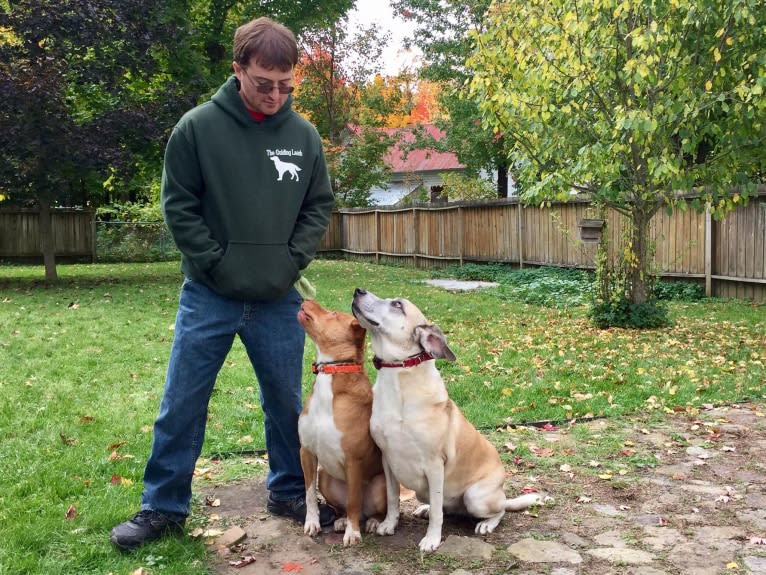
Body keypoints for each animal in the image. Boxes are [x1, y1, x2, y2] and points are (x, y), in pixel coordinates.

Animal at [296, 300, 388, 548]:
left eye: (334, 313)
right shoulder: (306, 452)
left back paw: (372, 521)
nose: (306, 300)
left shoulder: (354, 460)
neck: (332, 371)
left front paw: (353, 533)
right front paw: (312, 523)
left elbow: (354, 499)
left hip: (380, 485)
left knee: (367, 509)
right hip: (326, 478)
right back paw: (342, 520)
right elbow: (309, 494)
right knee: (344, 506)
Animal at [352, 290, 544, 552]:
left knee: (498, 510)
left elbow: (437, 514)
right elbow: (393, 499)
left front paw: (431, 539)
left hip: (475, 496)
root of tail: (501, 492)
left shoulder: (434, 465)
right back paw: (424, 508)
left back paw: (486, 524)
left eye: (397, 304)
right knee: (444, 507)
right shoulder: (387, 460)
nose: (358, 291)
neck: (398, 379)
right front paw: (389, 524)